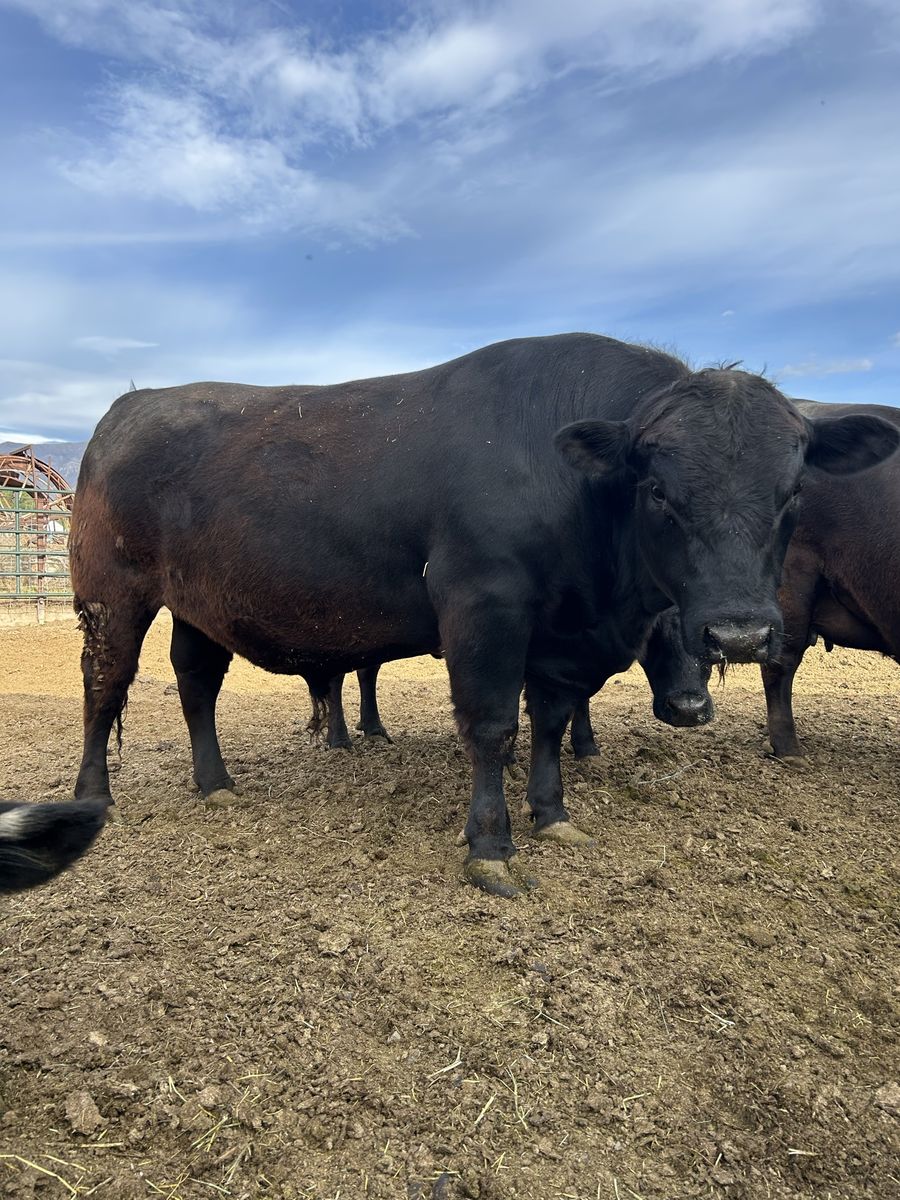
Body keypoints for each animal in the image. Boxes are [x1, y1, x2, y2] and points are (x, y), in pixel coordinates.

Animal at [68, 334, 897, 895]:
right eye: (658, 489)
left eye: (794, 493)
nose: (741, 633)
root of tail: (135, 402)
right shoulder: (483, 606)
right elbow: (494, 726)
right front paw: (491, 848)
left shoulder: (562, 638)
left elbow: (552, 724)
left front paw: (553, 813)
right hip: (112, 595)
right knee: (105, 687)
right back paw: (92, 796)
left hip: (197, 605)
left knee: (195, 681)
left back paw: (215, 782)